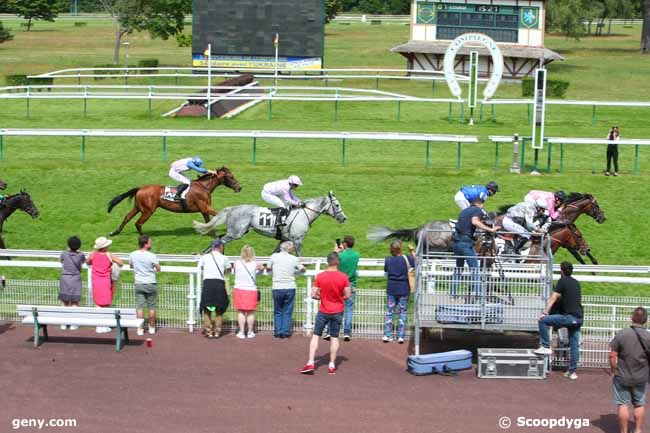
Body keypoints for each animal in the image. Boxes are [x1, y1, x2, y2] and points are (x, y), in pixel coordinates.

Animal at [109, 165, 240, 235]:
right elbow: (218, 215)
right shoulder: (204, 207)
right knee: (138, 223)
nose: (239, 187)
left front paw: (211, 233)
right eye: (231, 176)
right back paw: (143, 237)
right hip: (148, 210)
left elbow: (209, 221)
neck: (204, 187)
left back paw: (115, 232)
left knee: (127, 217)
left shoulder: (203, 209)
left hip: (138, 207)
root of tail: (140, 188)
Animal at [191, 191, 346, 255]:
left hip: (236, 232)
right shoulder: (297, 240)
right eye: (337, 205)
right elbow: (300, 256)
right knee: (217, 241)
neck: (303, 214)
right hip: (236, 233)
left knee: (217, 239)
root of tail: (232, 208)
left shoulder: (284, 239)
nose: (344, 218)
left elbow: (274, 254)